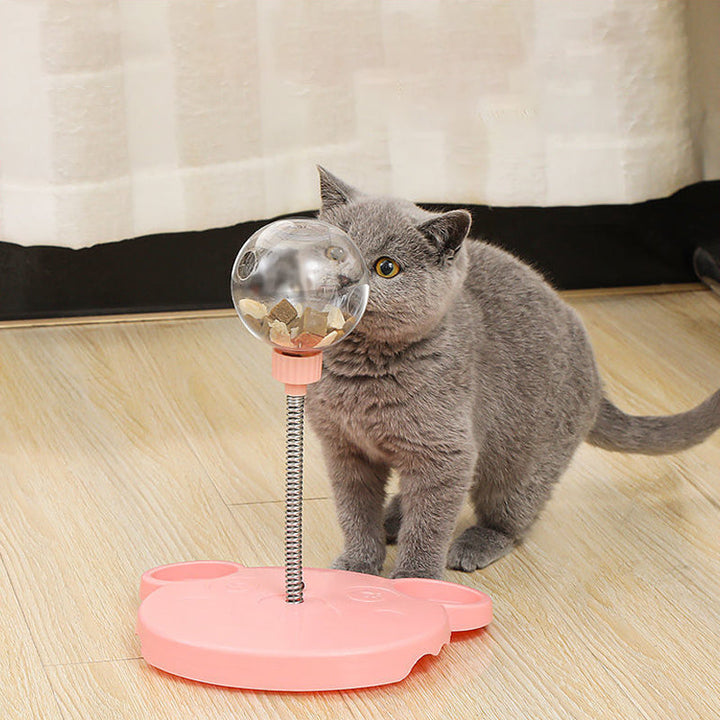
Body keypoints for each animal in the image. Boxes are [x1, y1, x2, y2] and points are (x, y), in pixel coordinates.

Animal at [306, 167, 720, 580]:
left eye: (386, 267)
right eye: (335, 252)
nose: (343, 279)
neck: (361, 375)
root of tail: (598, 381)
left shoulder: (446, 454)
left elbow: (429, 524)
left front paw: (415, 580)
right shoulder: (344, 449)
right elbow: (355, 513)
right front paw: (357, 565)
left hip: (523, 460)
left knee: (509, 513)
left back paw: (474, 543)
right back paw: (393, 517)